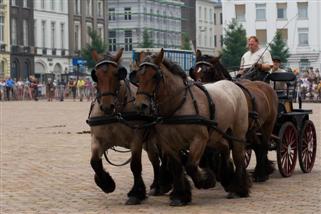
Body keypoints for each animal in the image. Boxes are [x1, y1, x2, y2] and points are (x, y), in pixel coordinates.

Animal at [89, 49, 171, 205]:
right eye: (96, 75)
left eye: (117, 73)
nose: (107, 106)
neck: (116, 114)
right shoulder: (98, 140)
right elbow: (94, 162)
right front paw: (106, 183)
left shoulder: (136, 141)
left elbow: (135, 165)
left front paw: (136, 193)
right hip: (149, 142)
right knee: (155, 160)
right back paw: (156, 186)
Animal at [130, 48, 250, 206]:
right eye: (139, 76)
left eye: (155, 76)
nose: (141, 105)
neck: (179, 105)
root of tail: (233, 85)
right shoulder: (168, 143)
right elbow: (176, 167)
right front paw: (180, 196)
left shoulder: (199, 139)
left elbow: (191, 164)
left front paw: (205, 181)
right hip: (215, 136)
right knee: (224, 148)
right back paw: (227, 178)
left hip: (237, 134)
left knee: (239, 157)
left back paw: (238, 189)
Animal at [191, 49, 278, 182]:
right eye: (195, 70)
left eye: (207, 70)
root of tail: (268, 87)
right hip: (252, 129)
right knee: (257, 146)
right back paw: (260, 171)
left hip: (268, 125)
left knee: (263, 146)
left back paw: (261, 174)